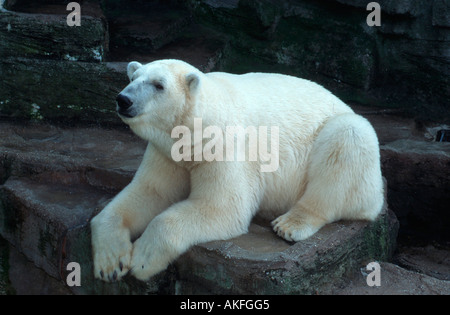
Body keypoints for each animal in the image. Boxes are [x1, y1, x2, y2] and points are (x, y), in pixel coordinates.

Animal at [90, 59, 384, 284]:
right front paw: (110, 262)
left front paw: (142, 259)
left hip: (347, 149)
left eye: (158, 85)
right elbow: (150, 192)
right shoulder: (168, 153)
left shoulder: (224, 146)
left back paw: (290, 223)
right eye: (133, 77)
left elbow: (223, 206)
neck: (197, 129)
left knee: (349, 136)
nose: (123, 99)